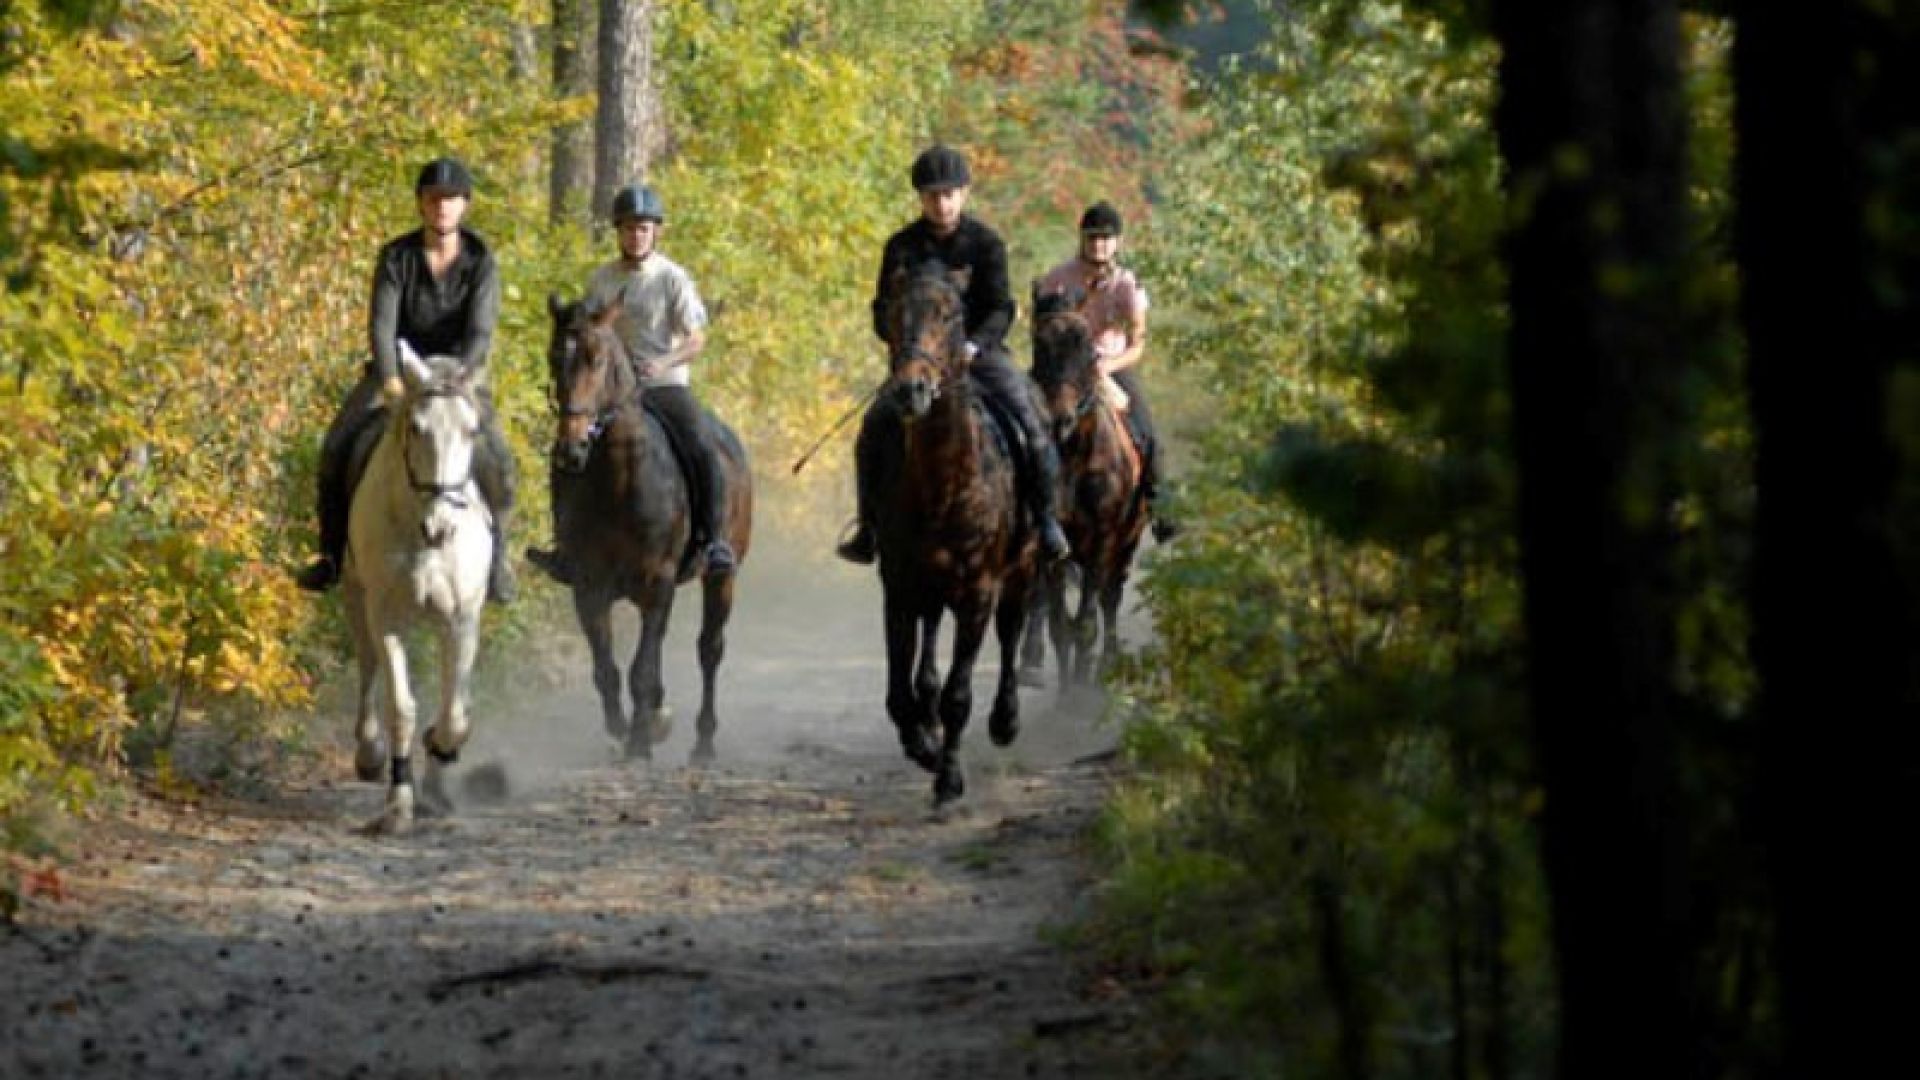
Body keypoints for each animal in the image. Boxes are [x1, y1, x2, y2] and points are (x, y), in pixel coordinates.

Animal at [345, 343, 495, 834]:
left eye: (471, 430)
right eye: (416, 427)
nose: (441, 527)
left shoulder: (461, 621)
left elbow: (454, 710)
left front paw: (441, 750)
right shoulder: (388, 619)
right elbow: (402, 707)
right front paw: (398, 804)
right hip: (357, 599)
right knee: (367, 665)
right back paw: (369, 753)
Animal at [545, 290, 752, 760]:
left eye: (597, 359)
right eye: (553, 357)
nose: (571, 449)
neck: (618, 482)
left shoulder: (657, 583)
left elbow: (641, 667)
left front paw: (641, 740)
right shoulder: (589, 587)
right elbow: (607, 668)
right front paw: (626, 727)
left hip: (722, 576)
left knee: (709, 649)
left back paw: (703, 743)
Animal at [1029, 290, 1144, 684]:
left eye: (1092, 353)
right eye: (1038, 346)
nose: (1059, 419)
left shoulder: (1103, 540)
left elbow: (1086, 624)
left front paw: (1079, 687)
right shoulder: (1054, 547)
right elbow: (1060, 626)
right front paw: (1066, 688)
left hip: (1126, 542)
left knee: (1110, 599)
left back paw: (1106, 665)